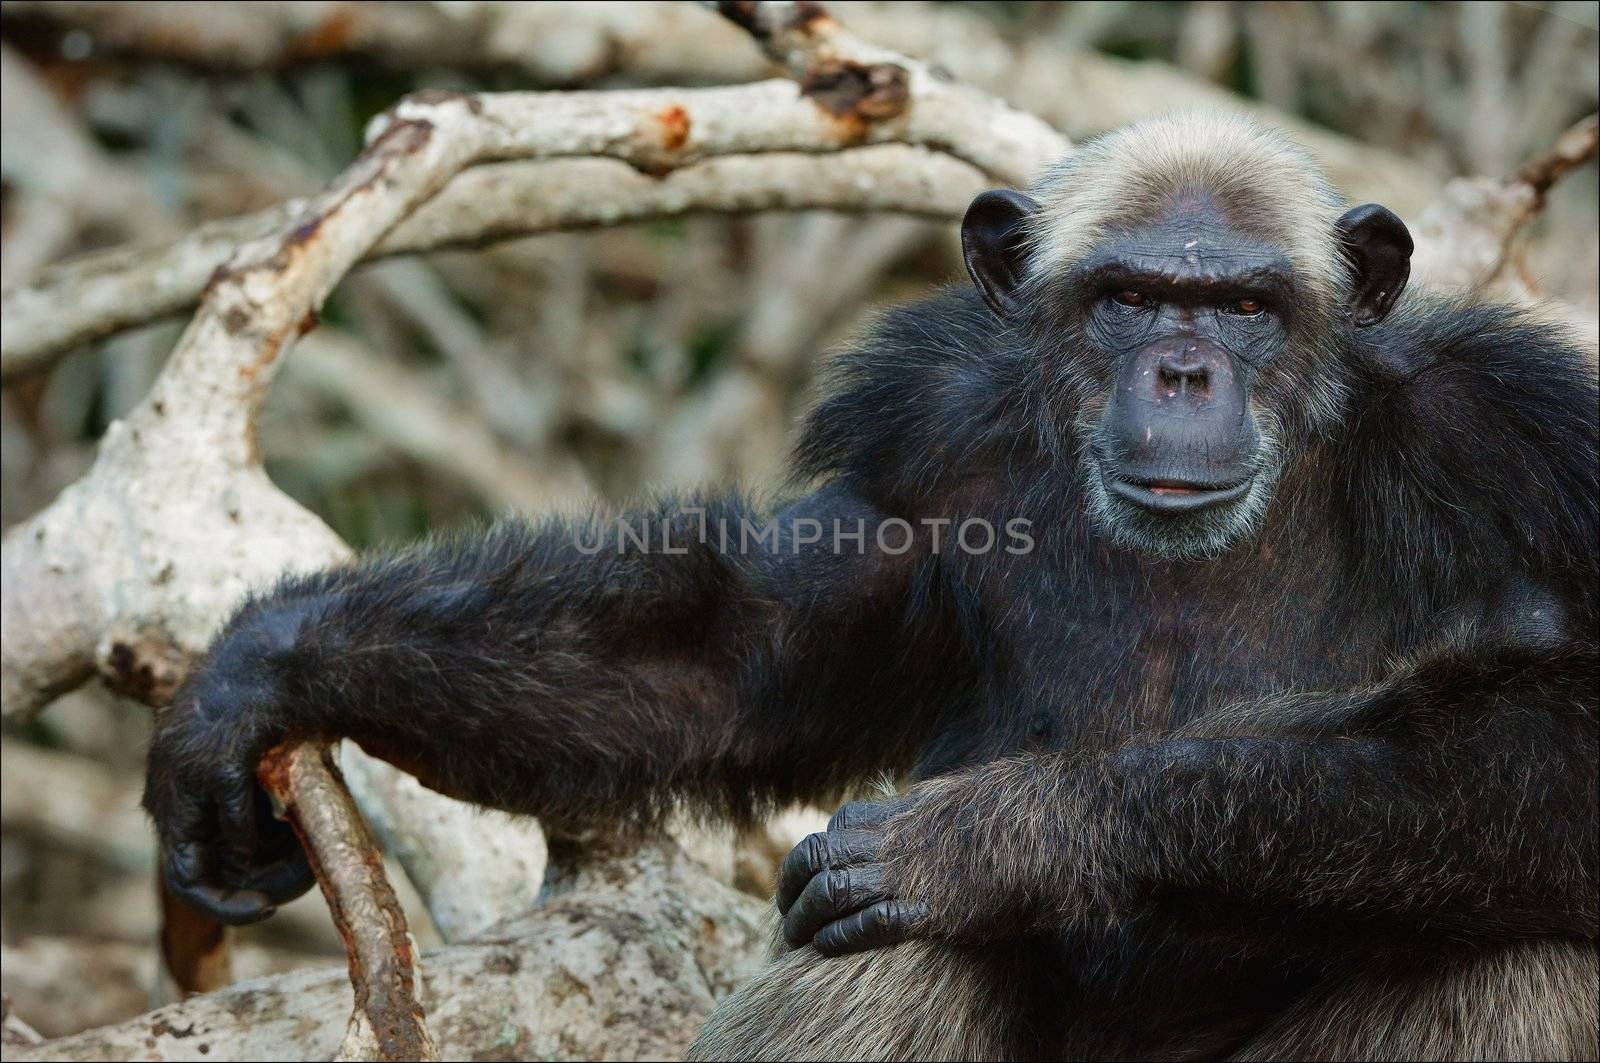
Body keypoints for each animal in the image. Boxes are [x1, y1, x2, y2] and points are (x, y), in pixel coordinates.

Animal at [140, 112, 1600, 1056]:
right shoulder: (918, 441)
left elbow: (1567, 728)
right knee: (878, 943)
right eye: (1128, 297)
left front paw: (1001, 835)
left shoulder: (1520, 445)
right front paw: (257, 673)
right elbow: (720, 661)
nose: (1184, 371)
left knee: (1521, 952)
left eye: (1245, 307)